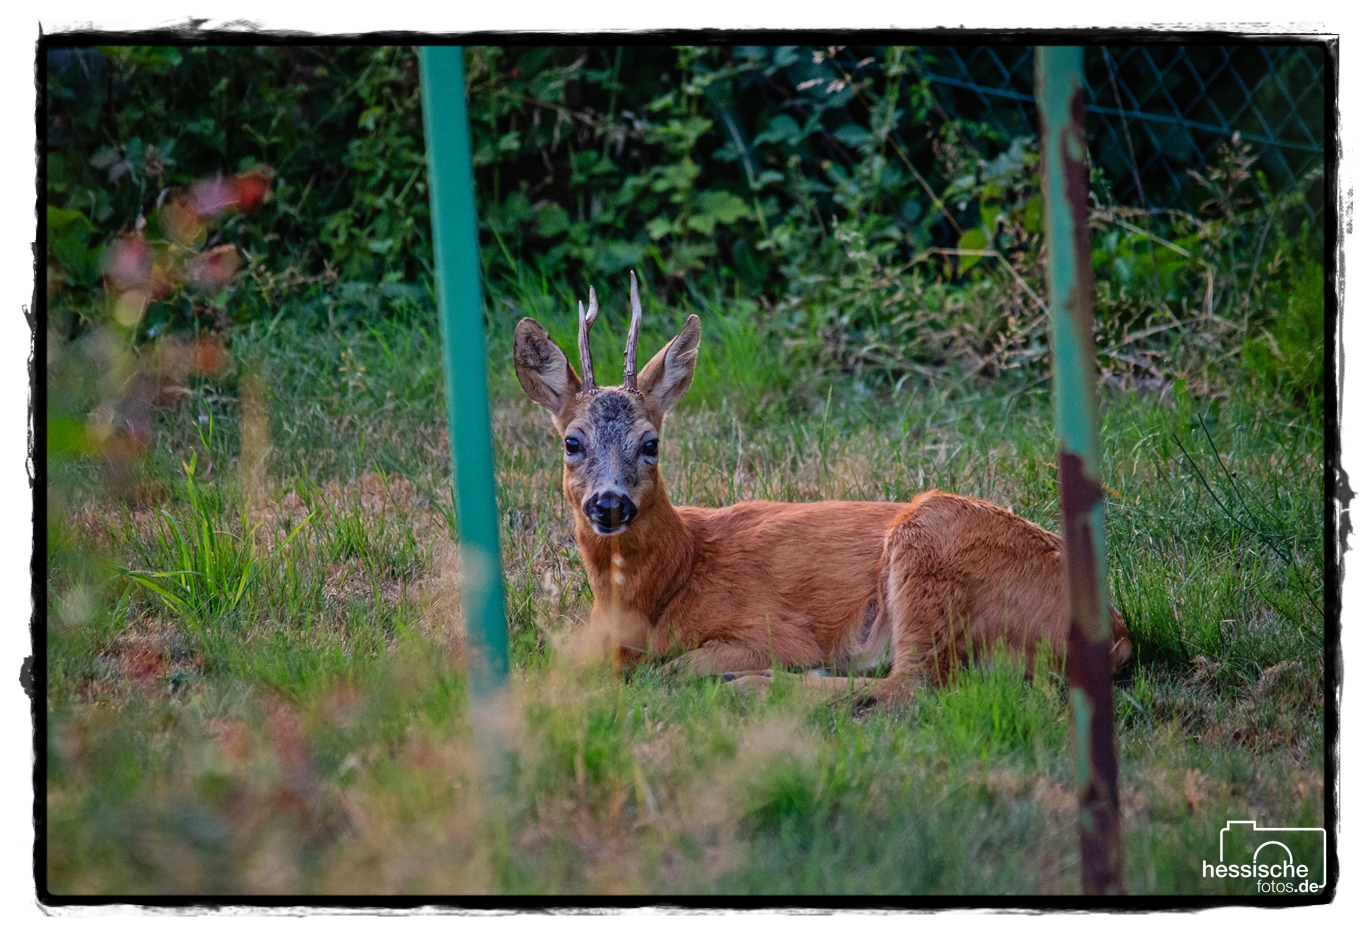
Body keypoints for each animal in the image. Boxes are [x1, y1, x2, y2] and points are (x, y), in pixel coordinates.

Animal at [515, 272, 1135, 696]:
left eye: (651, 443)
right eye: (572, 443)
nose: (610, 503)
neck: (674, 576)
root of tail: (1116, 635)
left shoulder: (767, 626)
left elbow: (672, 670)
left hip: (931, 543)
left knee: (911, 687)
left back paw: (764, 685)